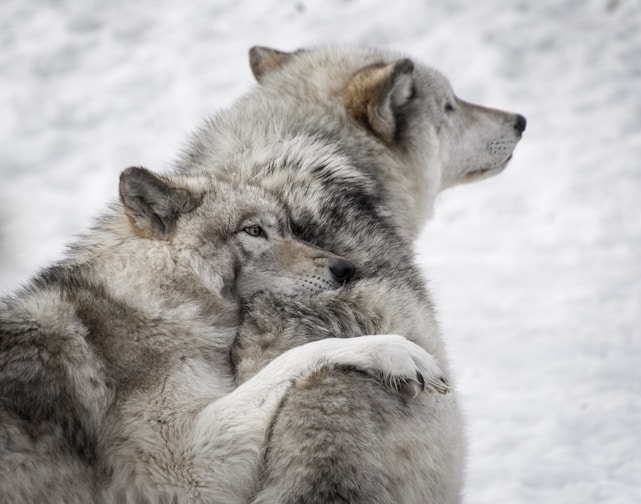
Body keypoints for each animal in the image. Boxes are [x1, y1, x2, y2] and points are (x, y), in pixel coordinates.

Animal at [0, 166, 448, 503]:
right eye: (253, 231)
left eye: (289, 228)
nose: (346, 269)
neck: (153, 298)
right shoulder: (186, 471)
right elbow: (303, 353)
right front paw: (396, 351)